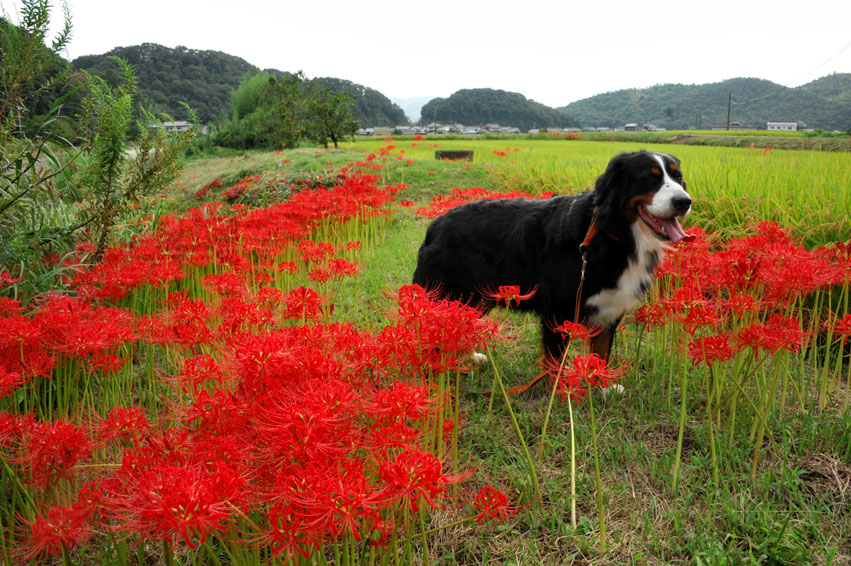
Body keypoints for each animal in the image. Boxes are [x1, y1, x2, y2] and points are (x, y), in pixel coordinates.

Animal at [412, 151, 692, 362]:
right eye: (650, 178)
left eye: (678, 177)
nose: (684, 201)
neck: (613, 234)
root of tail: (435, 225)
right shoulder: (560, 311)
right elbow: (555, 365)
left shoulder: (608, 310)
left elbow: (601, 355)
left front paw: (601, 388)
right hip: (447, 296)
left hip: (475, 299)